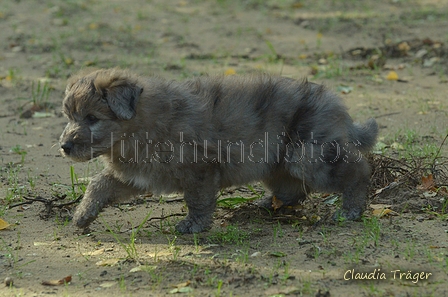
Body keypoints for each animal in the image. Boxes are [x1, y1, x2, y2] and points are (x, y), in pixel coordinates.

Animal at [57, 68, 376, 232]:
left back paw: (350, 210)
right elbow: (99, 183)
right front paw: (83, 215)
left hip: (307, 155)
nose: (64, 146)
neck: (140, 125)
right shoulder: (136, 174)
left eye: (92, 118)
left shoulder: (199, 169)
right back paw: (267, 204)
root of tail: (336, 104)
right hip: (275, 161)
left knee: (357, 170)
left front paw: (194, 225)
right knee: (293, 189)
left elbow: (197, 200)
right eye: (69, 116)